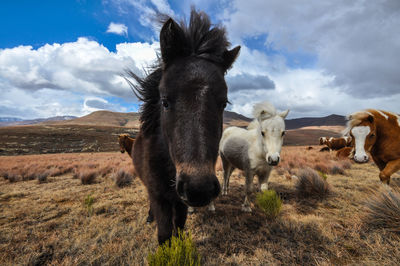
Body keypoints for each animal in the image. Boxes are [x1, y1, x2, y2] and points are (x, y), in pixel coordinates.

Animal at [128, 9, 239, 244]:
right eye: (164, 101)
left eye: (224, 103)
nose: (199, 189)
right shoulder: (159, 196)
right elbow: (164, 234)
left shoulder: (180, 201)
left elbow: (178, 226)